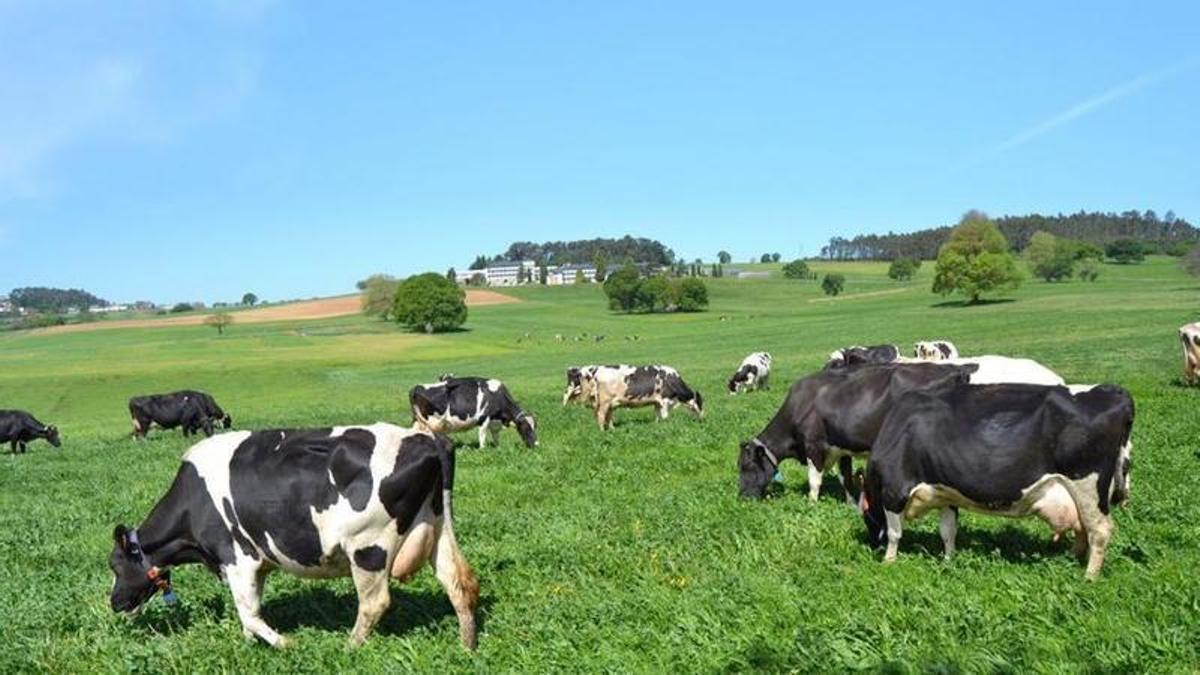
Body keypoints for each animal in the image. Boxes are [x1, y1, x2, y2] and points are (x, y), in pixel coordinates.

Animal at [104, 420, 477, 648]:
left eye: (116, 565)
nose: (114, 602)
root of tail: (428, 439)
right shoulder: (258, 564)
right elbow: (251, 611)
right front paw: (249, 645)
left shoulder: (237, 559)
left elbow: (250, 613)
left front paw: (286, 643)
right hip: (438, 529)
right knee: (459, 584)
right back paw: (467, 645)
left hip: (368, 546)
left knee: (375, 603)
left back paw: (349, 647)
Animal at [734, 362, 979, 499]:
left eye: (746, 466)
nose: (743, 497)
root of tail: (956, 368)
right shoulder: (841, 448)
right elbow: (846, 479)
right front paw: (851, 503)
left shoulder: (814, 445)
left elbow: (815, 481)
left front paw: (811, 504)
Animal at [859, 381, 1128, 576]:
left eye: (866, 516)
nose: (872, 545)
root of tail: (1114, 391)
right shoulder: (946, 493)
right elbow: (948, 531)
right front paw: (948, 560)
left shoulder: (894, 490)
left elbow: (895, 533)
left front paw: (888, 561)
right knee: (1084, 528)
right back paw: (1074, 559)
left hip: (1089, 487)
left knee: (1100, 530)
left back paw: (1089, 576)